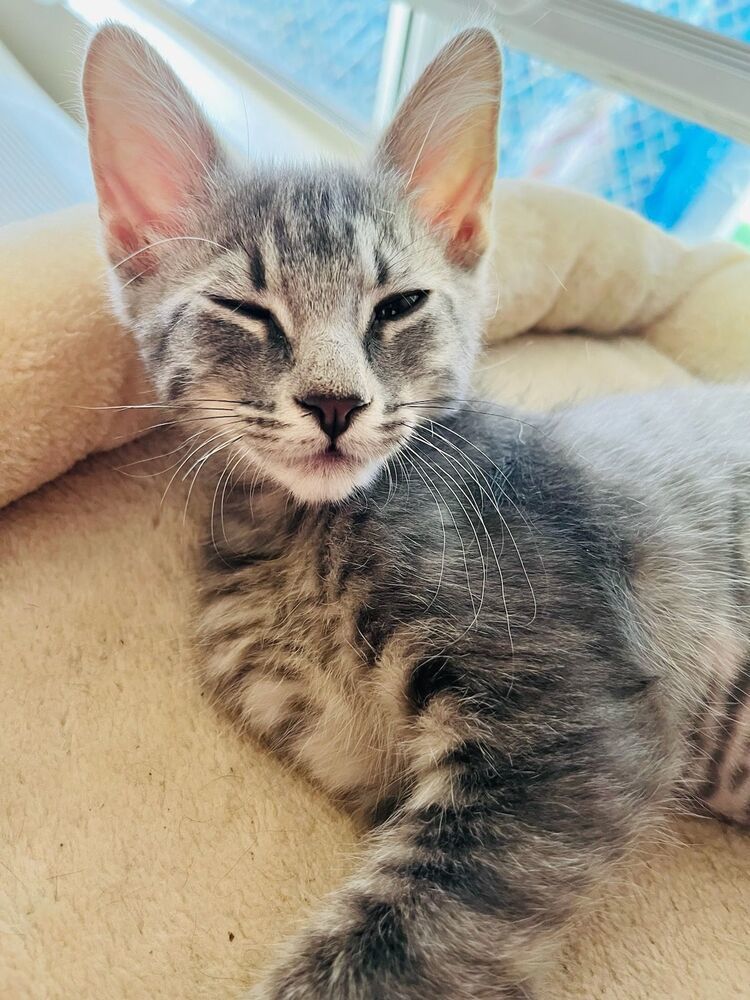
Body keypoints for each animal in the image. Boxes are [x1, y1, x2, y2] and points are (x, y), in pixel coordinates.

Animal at [83, 23, 750, 1000]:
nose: (334, 402)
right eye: (244, 309)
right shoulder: (361, 758)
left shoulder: (573, 730)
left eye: (398, 305)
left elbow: (405, 938)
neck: (299, 539)